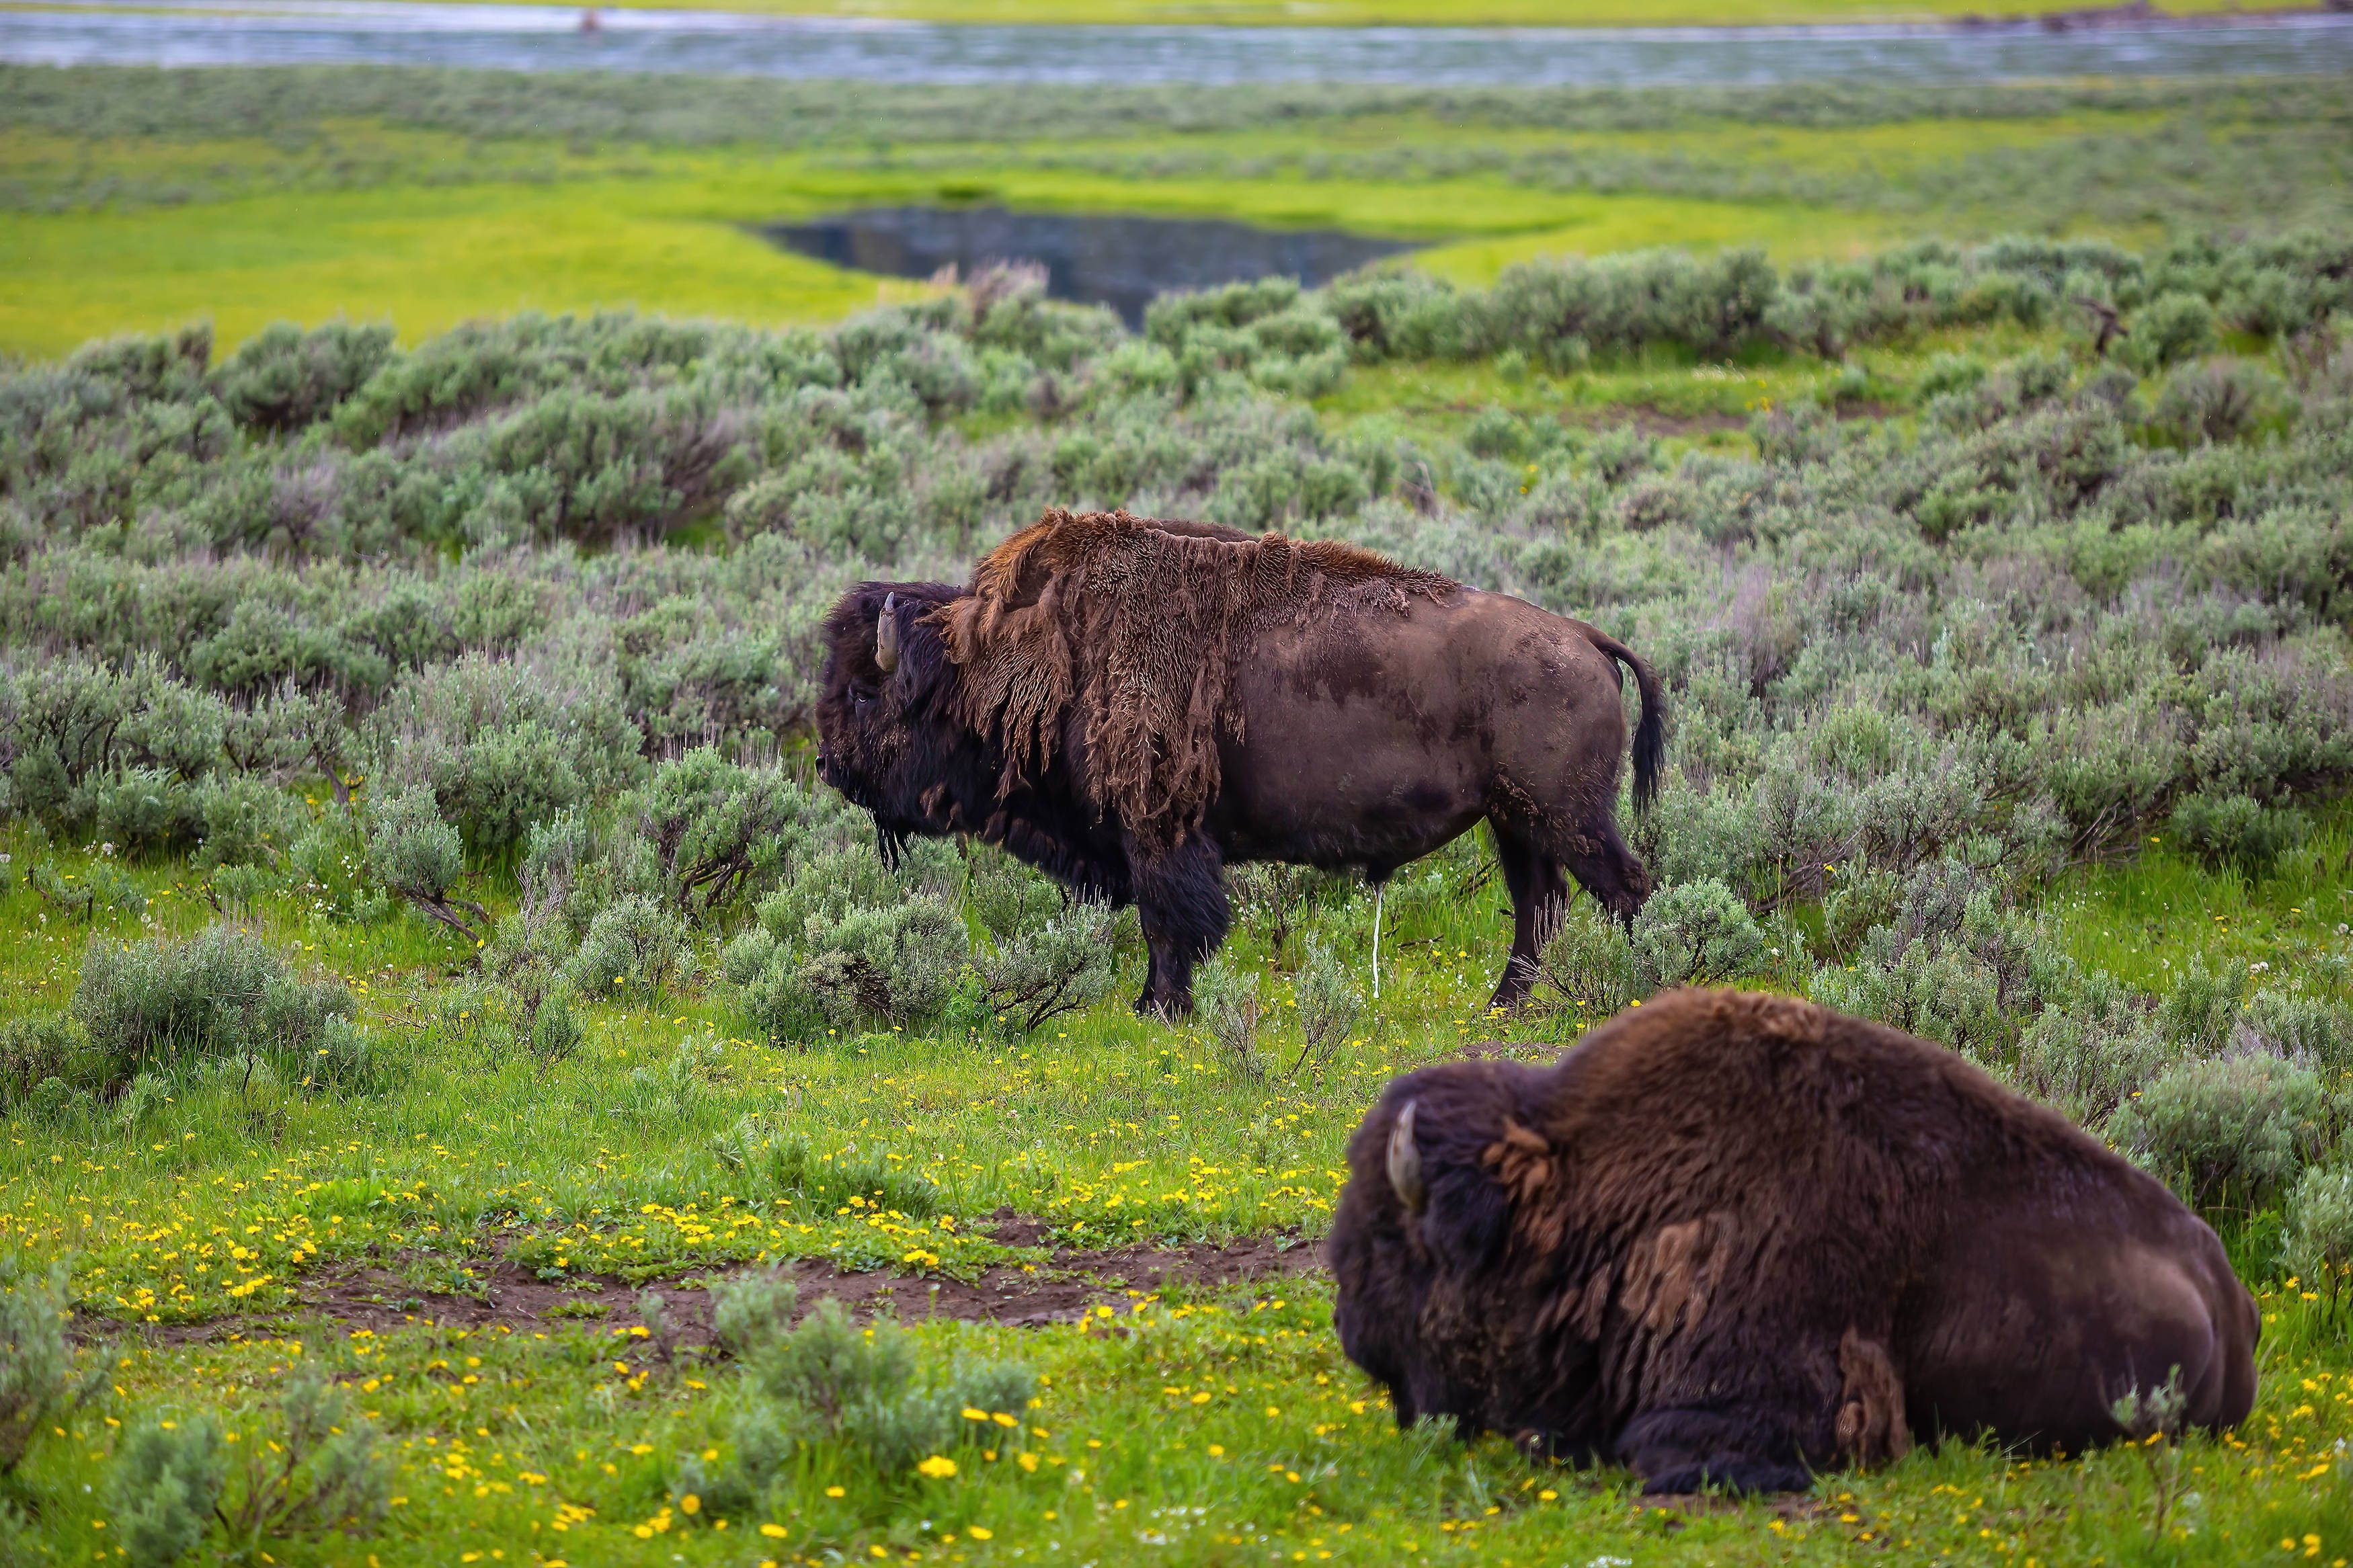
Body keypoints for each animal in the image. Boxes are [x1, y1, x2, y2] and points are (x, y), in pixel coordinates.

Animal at [814, 509, 1663, 1017]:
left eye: (862, 691)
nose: (825, 764)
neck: (1024, 651)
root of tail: (1584, 638)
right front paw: (1155, 1005)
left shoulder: (1159, 832)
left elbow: (1169, 923)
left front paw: (1159, 1008)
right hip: (1514, 822)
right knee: (1540, 907)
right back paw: (1502, 1005)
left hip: (1564, 816)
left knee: (1622, 889)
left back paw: (1628, 991)